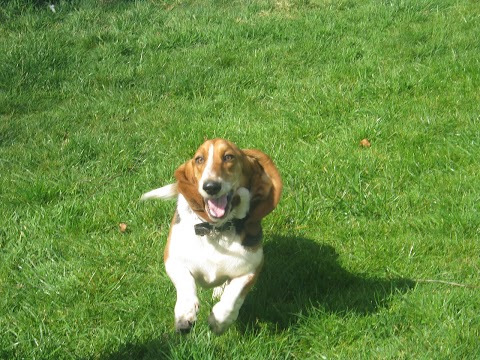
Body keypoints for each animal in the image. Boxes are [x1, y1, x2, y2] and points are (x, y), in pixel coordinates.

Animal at [141, 139, 282, 334]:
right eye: (199, 159)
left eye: (229, 157)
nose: (211, 187)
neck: (216, 230)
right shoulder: (173, 260)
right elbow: (185, 282)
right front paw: (185, 314)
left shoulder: (251, 268)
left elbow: (233, 296)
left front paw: (220, 320)